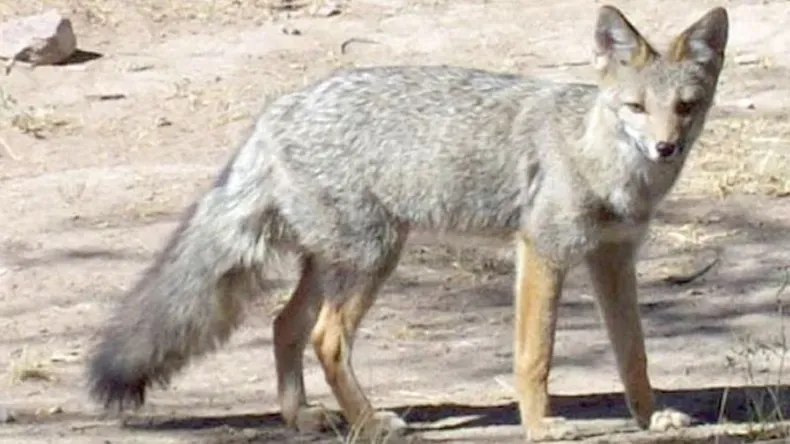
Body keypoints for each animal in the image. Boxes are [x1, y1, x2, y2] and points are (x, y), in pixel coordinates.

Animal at [86, 4, 729, 442]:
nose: (666, 148)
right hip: (374, 258)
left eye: (686, 107)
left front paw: (650, 416)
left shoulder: (613, 258)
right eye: (636, 108)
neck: (598, 158)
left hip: (339, 261)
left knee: (284, 325)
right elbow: (536, 355)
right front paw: (541, 427)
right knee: (326, 339)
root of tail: (278, 110)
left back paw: (304, 418)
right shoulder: (542, 251)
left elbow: (633, 353)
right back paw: (371, 423)